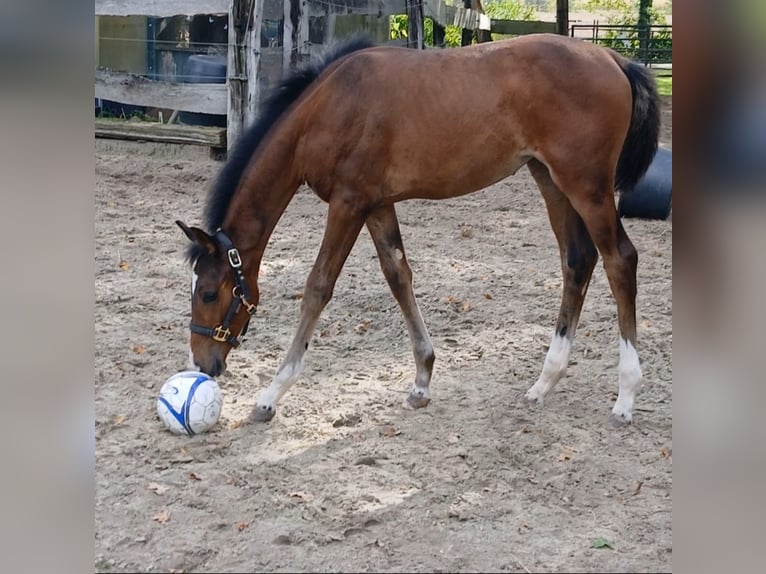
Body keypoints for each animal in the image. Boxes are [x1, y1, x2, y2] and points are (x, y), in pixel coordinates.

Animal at [176, 33, 660, 427]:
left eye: (209, 293)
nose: (202, 363)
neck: (329, 107)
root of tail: (614, 59)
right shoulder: (376, 204)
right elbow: (399, 276)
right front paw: (422, 380)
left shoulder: (348, 203)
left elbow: (318, 287)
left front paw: (270, 395)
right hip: (550, 179)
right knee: (577, 261)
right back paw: (545, 381)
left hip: (586, 186)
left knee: (620, 260)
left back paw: (626, 398)